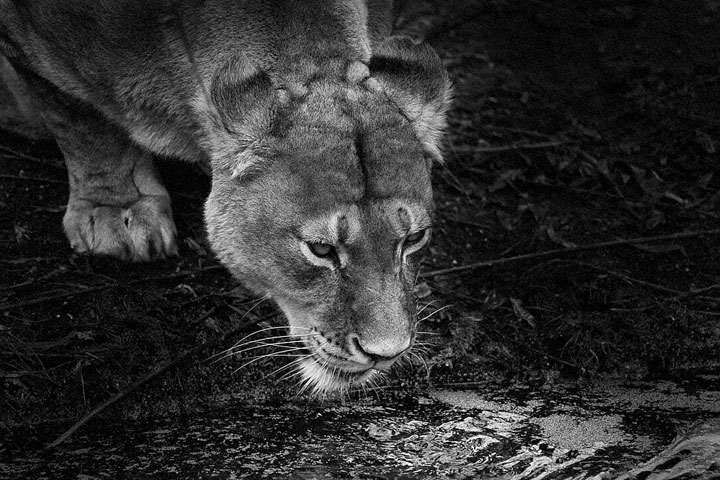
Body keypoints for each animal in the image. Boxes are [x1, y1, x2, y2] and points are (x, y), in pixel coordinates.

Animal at [0, 0, 451, 393]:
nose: (386, 354)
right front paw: (116, 212)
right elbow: (81, 121)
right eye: (321, 249)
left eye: (414, 239)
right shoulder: (34, 47)